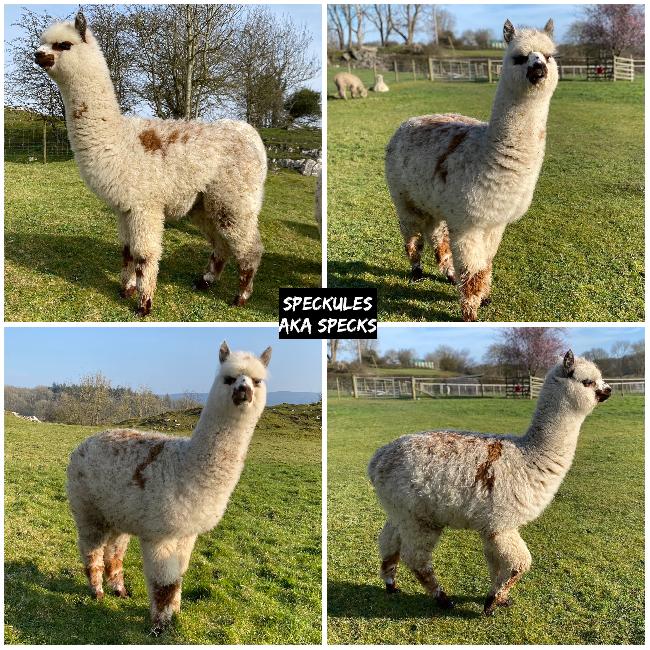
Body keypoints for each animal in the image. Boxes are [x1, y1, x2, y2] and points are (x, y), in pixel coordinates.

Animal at [35, 12, 266, 316]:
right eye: (41, 42)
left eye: (63, 45)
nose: (37, 55)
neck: (118, 141)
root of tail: (251, 134)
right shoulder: (124, 207)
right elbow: (127, 251)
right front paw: (126, 289)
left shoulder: (145, 205)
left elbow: (145, 254)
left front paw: (144, 305)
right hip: (204, 202)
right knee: (221, 244)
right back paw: (205, 281)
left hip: (235, 198)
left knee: (250, 246)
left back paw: (241, 296)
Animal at [66, 341, 271, 633]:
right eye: (229, 378)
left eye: (257, 380)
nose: (244, 390)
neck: (186, 466)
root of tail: (85, 442)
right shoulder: (160, 533)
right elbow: (165, 582)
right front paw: (161, 625)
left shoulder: (186, 532)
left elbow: (178, 577)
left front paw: (175, 611)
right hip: (87, 507)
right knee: (91, 548)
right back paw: (98, 592)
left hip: (120, 513)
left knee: (114, 552)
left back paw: (120, 590)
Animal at [368, 351, 611, 615]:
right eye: (588, 382)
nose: (609, 390)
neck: (530, 458)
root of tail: (377, 460)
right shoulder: (501, 523)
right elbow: (520, 564)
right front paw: (491, 602)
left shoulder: (491, 526)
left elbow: (495, 563)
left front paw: (500, 598)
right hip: (419, 516)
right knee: (416, 558)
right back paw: (442, 598)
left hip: (398, 510)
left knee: (388, 542)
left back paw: (391, 584)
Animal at [385, 19, 558, 321]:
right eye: (520, 57)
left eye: (548, 56)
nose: (538, 68)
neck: (488, 155)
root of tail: (407, 122)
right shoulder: (468, 223)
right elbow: (473, 270)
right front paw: (470, 313)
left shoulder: (494, 221)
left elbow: (485, 265)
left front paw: (484, 298)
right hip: (403, 196)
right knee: (413, 234)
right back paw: (417, 272)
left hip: (435, 201)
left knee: (437, 236)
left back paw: (448, 274)